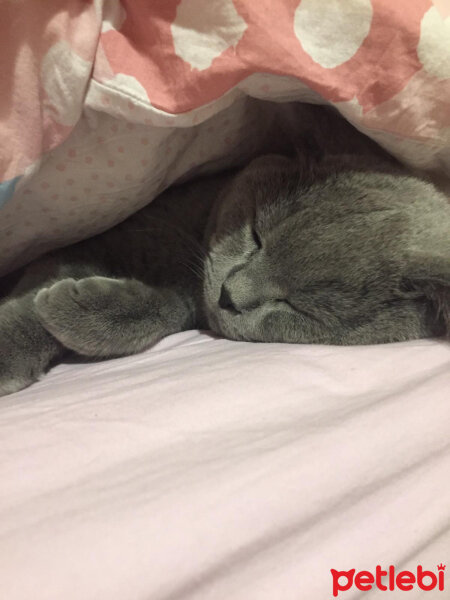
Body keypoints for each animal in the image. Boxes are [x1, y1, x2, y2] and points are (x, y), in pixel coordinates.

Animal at [0, 106, 448, 398]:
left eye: (296, 306)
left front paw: (76, 311)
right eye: (255, 234)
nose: (229, 295)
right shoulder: (104, 236)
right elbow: (43, 286)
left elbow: (165, 310)